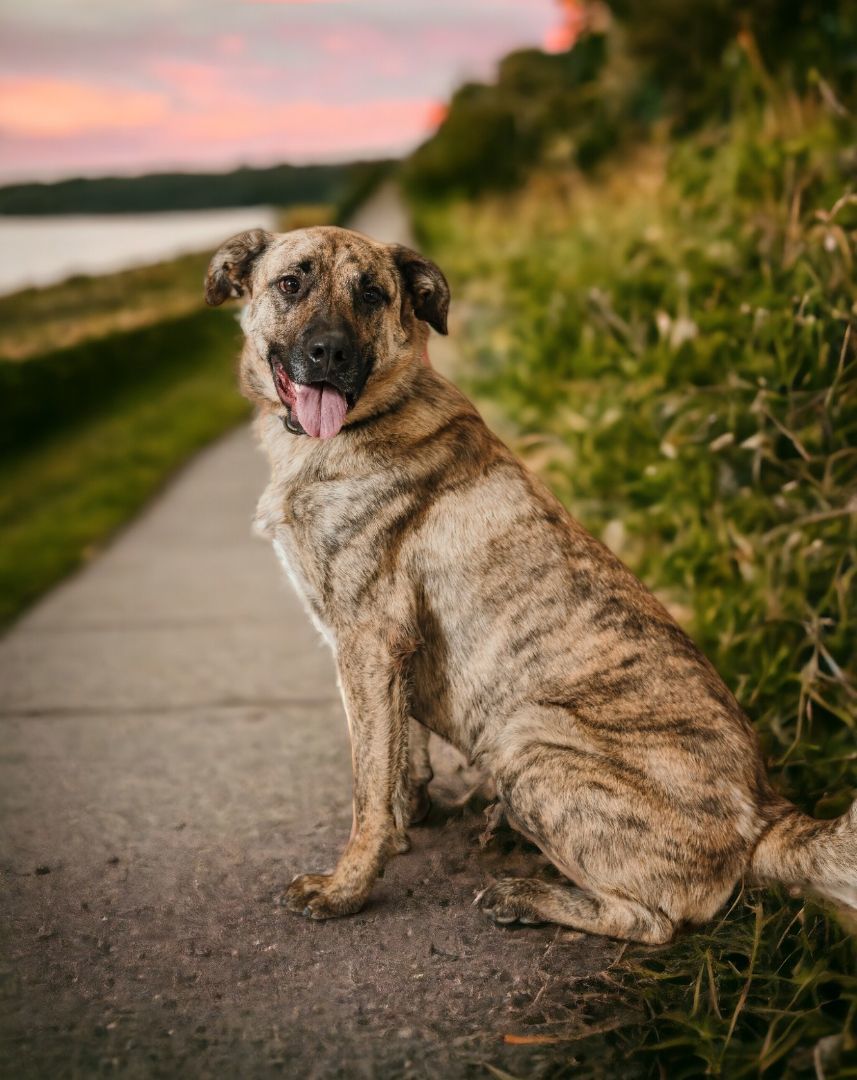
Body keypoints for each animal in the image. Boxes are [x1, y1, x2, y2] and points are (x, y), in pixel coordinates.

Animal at [205, 227, 854, 946]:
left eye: (371, 294)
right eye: (290, 283)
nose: (330, 354)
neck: (363, 421)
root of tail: (768, 819)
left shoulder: (368, 640)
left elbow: (367, 787)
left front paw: (347, 886)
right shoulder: (388, 653)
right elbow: (400, 758)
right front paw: (409, 819)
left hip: (525, 738)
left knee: (652, 921)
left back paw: (524, 894)